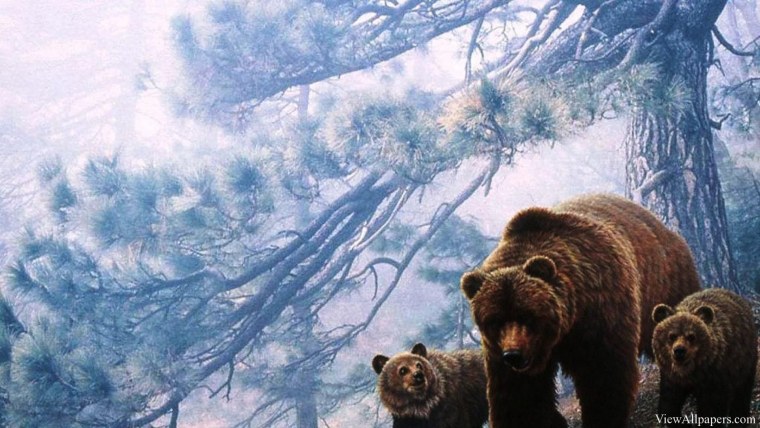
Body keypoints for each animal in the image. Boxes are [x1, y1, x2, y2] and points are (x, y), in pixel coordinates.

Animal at [460, 193, 701, 428]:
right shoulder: (499, 352)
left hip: (664, 284)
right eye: (495, 320)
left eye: (527, 316)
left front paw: (602, 417)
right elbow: (519, 397)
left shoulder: (599, 313)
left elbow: (602, 375)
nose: (513, 355)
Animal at [652, 288, 758, 426]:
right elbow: (669, 405)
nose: (679, 351)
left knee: (742, 394)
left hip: (745, 361)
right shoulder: (671, 378)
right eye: (672, 336)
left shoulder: (716, 377)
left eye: (691, 336)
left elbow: (712, 409)